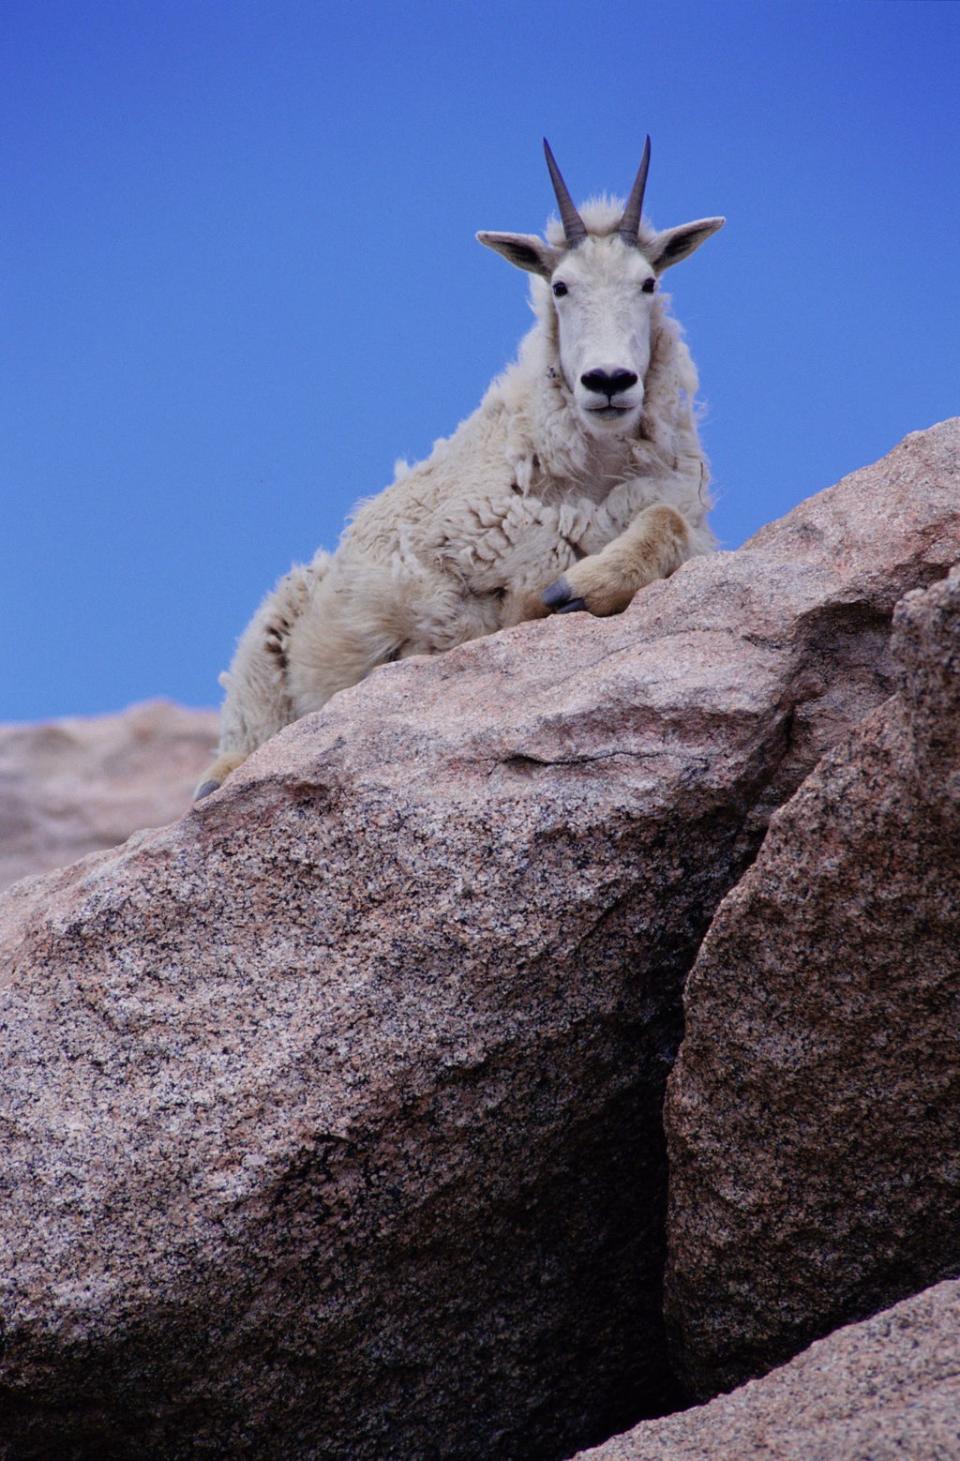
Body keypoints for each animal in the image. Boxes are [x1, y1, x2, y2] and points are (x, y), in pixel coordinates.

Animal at [192, 137, 718, 794]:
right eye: (560, 287)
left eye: (648, 283)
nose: (608, 382)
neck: (592, 470)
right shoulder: (434, 581)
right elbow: (489, 614)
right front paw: (553, 593)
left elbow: (664, 522)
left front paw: (580, 587)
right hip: (262, 664)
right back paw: (218, 778)